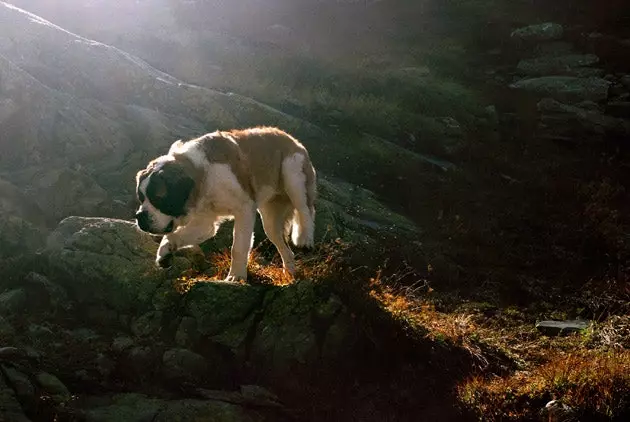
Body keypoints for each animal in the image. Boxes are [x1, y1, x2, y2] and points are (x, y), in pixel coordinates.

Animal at [135, 127, 318, 282]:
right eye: (141, 198)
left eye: (158, 198)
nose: (139, 216)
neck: (203, 174)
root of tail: (290, 137)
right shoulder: (205, 222)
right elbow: (174, 236)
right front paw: (164, 254)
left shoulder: (244, 208)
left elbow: (238, 247)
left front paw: (236, 277)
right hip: (271, 219)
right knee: (284, 247)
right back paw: (290, 274)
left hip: (293, 173)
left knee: (305, 209)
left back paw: (304, 238)